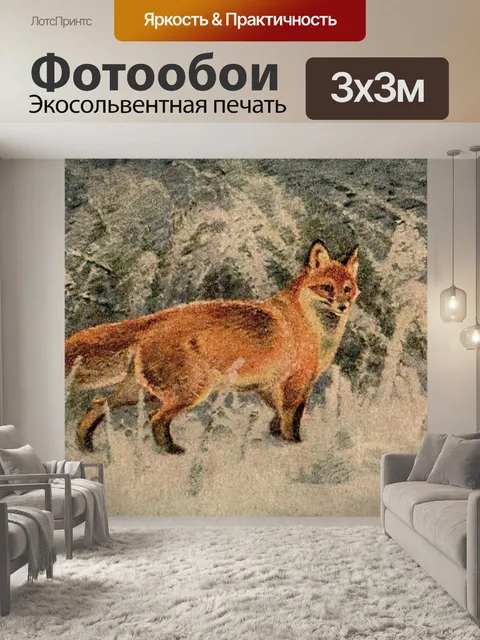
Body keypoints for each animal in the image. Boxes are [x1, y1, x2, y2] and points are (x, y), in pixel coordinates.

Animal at [66, 240, 360, 455]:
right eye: (326, 288)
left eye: (347, 289)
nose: (343, 307)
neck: (313, 328)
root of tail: (156, 318)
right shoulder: (297, 382)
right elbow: (291, 420)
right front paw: (293, 446)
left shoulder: (270, 385)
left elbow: (278, 416)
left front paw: (274, 437)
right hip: (189, 391)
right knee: (155, 418)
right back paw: (171, 451)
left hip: (139, 392)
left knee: (98, 404)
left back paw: (86, 446)